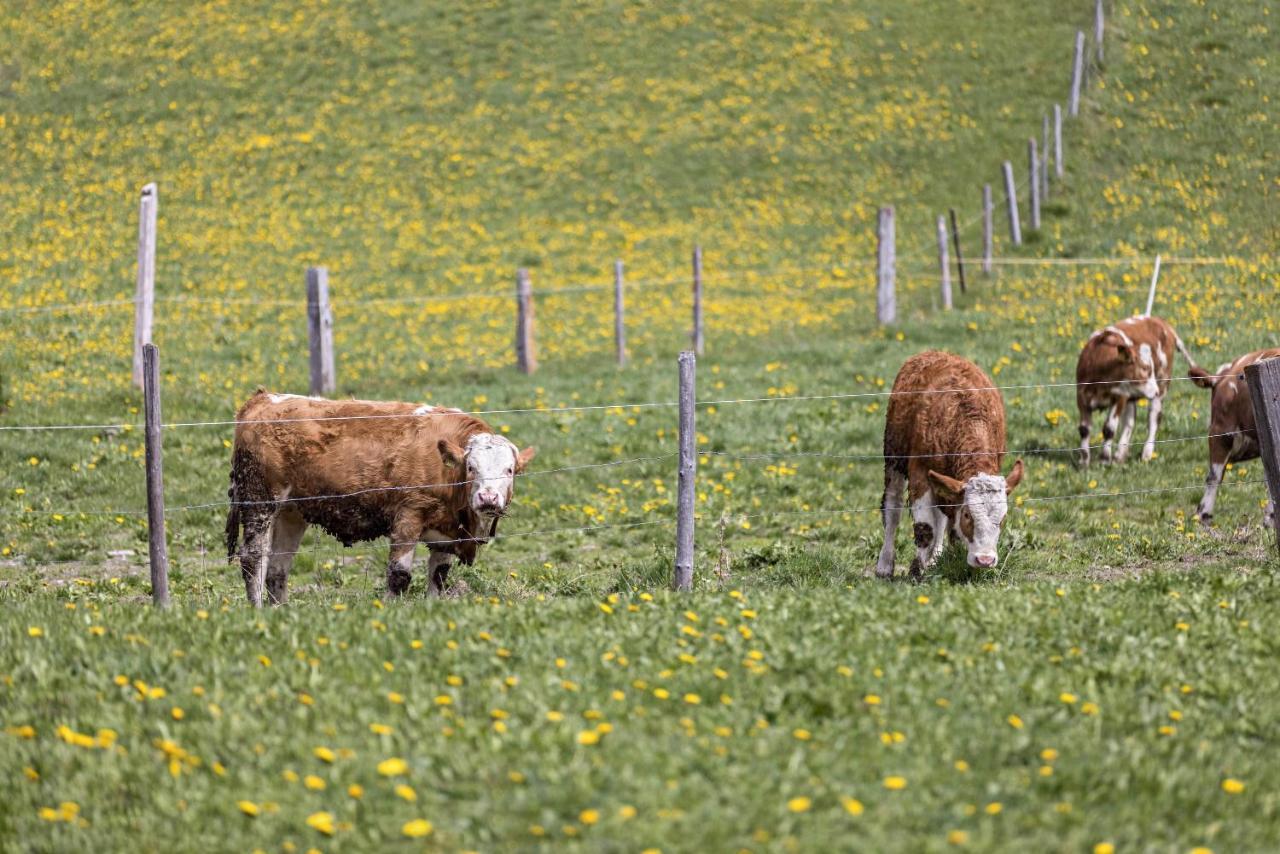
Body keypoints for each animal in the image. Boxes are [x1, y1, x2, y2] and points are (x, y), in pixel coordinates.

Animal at [225, 391, 535, 604]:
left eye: (509, 470)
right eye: (472, 467)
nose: (488, 498)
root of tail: (265, 398)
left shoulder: (447, 533)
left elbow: (438, 576)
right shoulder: (409, 516)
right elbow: (399, 575)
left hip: (292, 512)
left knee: (278, 569)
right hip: (260, 500)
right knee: (253, 559)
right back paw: (258, 611)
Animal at [875, 348, 1024, 581]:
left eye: (1003, 518)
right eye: (968, 514)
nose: (985, 560)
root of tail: (935, 352)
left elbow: (951, 528)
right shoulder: (920, 472)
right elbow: (925, 527)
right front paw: (916, 570)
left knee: (941, 517)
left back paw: (934, 558)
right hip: (893, 456)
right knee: (892, 507)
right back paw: (885, 564)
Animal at [1075, 313, 1203, 463]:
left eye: (1150, 368)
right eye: (1145, 368)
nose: (1155, 391)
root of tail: (1162, 323)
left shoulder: (1119, 397)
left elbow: (1109, 429)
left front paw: (1104, 459)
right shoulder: (1081, 396)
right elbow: (1084, 429)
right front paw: (1084, 461)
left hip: (1162, 385)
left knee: (1154, 419)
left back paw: (1146, 453)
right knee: (1130, 422)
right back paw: (1120, 455)